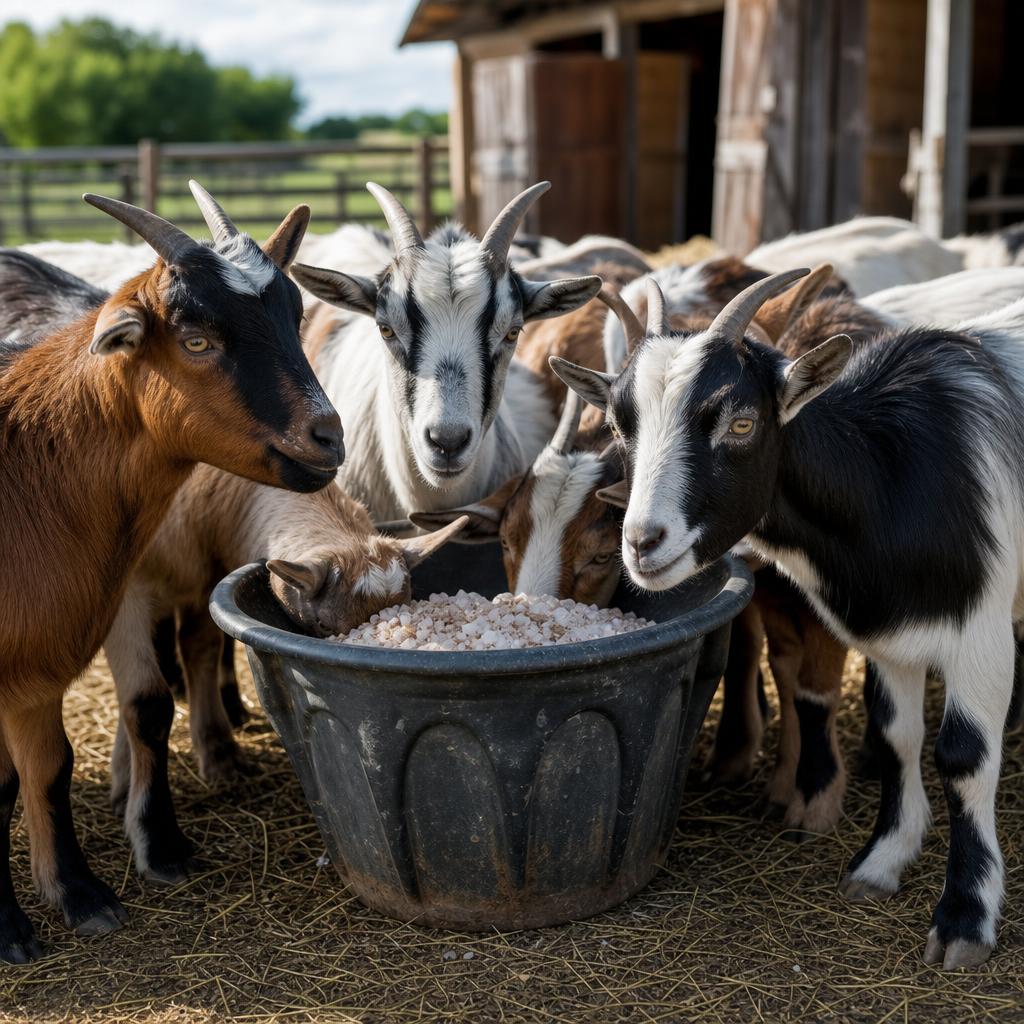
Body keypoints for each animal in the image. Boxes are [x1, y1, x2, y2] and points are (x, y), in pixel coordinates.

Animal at [553, 270, 1024, 969]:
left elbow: (963, 757)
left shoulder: (982, 631)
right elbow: (896, 737)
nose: (641, 543)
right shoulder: (892, 636)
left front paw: (965, 918)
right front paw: (882, 861)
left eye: (742, 422)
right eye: (618, 424)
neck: (891, 476)